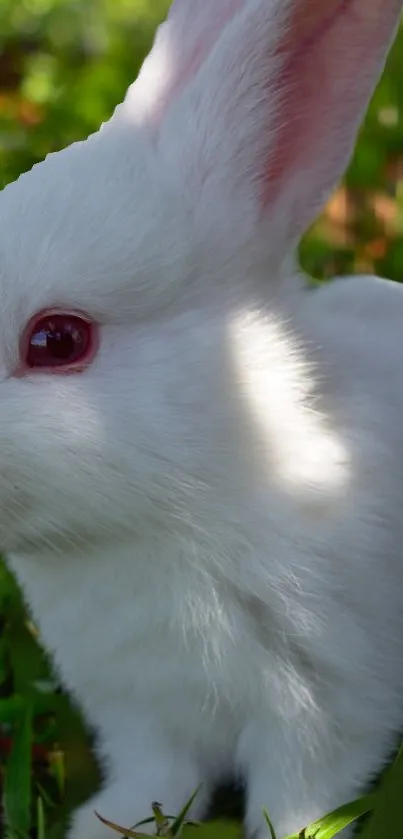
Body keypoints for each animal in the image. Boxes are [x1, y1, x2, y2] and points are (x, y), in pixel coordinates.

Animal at [0, 0, 403, 836]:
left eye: (57, 340)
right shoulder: (141, 714)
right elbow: (156, 780)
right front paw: (104, 822)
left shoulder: (322, 708)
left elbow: (299, 793)